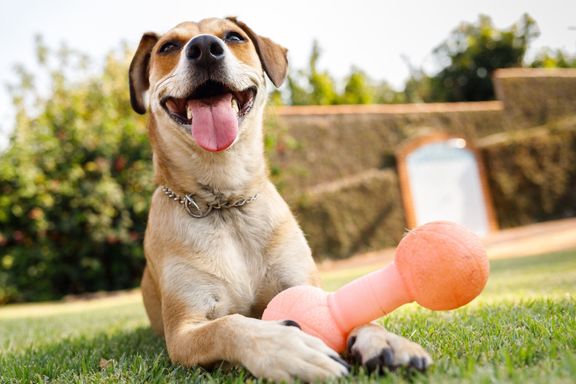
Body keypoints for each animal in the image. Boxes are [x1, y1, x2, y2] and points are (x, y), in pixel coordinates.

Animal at [128, 16, 430, 380]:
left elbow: (349, 310)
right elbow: (229, 325)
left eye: (234, 37)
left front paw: (385, 340)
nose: (204, 49)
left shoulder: (303, 284)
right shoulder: (184, 332)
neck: (225, 203)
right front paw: (286, 347)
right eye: (168, 47)